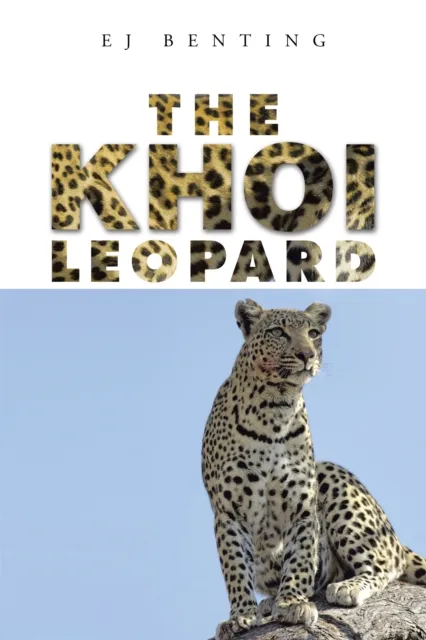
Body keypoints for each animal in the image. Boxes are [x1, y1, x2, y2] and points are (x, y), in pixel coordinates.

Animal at [202, 299, 426, 640]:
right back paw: (267, 603)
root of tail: (397, 539)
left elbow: (300, 556)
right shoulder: (228, 510)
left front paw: (293, 603)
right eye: (278, 332)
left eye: (314, 333)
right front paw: (240, 616)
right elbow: (235, 566)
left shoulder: (302, 504)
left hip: (332, 477)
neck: (274, 408)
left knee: (386, 564)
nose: (307, 355)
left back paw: (347, 587)